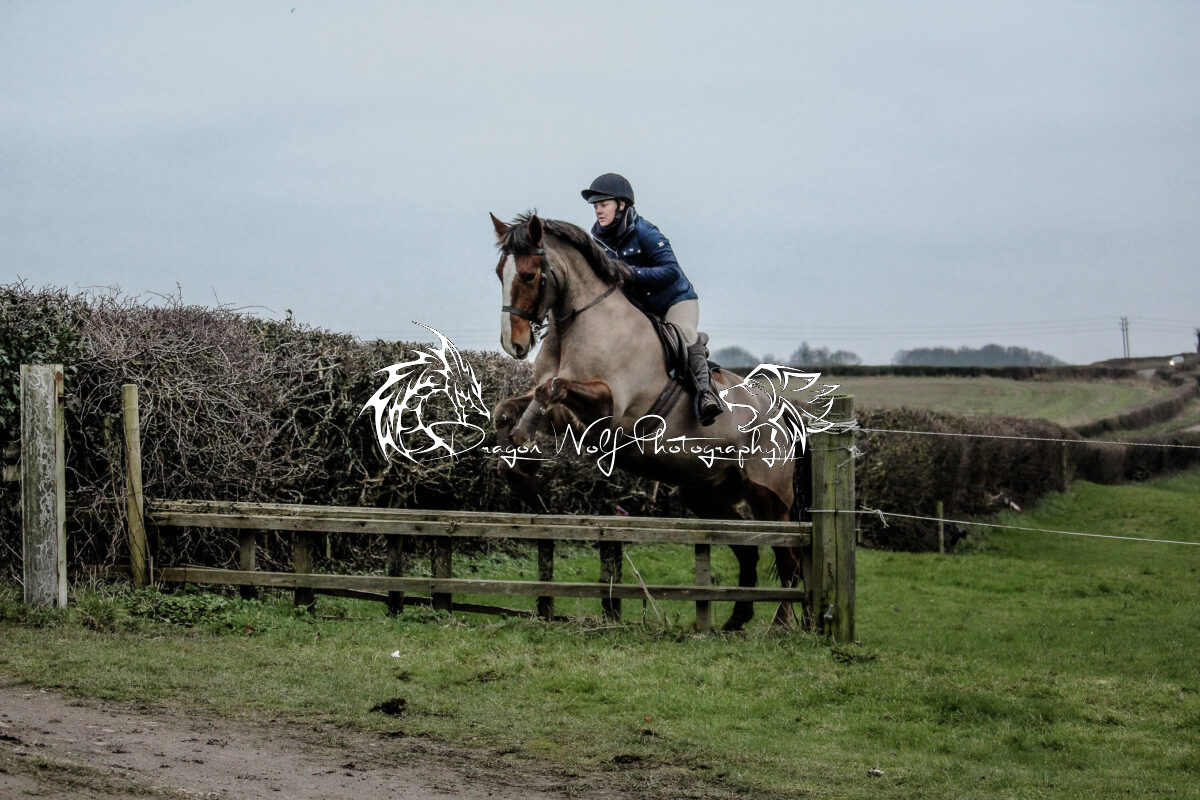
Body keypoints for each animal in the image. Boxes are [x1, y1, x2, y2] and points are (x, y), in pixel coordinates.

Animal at [489, 211, 829, 630]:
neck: (582, 322)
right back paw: (735, 622)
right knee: (749, 552)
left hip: (769, 496)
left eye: (529, 275)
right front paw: (518, 471)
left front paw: (522, 446)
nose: (514, 344)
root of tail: (785, 414)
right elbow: (510, 406)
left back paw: (782, 625)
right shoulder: (564, 415)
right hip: (705, 495)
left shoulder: (608, 412)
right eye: (499, 272)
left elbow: (549, 389)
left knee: (788, 556)